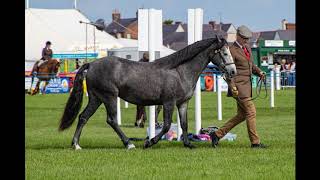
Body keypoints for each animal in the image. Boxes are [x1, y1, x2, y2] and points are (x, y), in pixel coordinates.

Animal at [58, 35, 236, 150]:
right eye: (225, 53)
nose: (233, 71)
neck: (179, 71)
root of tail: (92, 64)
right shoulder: (169, 103)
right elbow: (166, 125)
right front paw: (149, 142)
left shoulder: (182, 103)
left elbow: (184, 124)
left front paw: (188, 144)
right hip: (109, 97)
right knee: (112, 120)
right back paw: (129, 143)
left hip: (96, 98)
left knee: (83, 117)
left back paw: (76, 145)